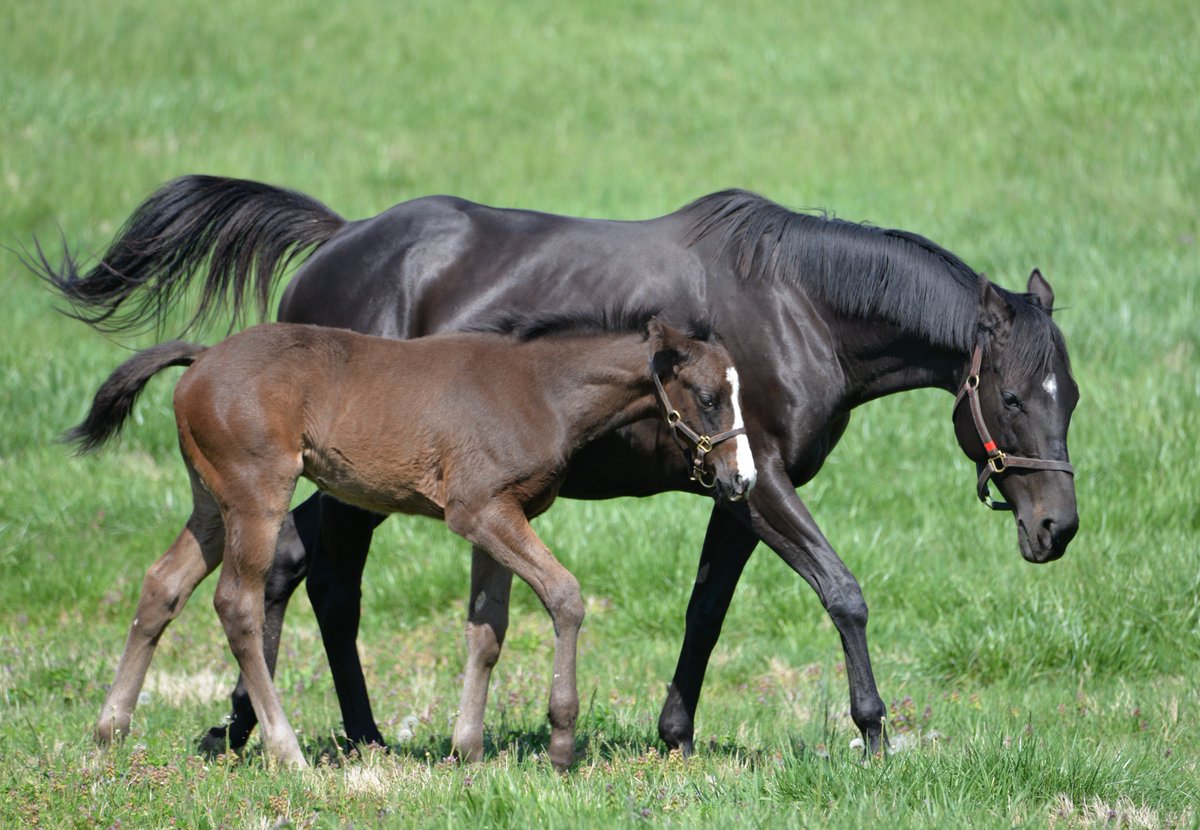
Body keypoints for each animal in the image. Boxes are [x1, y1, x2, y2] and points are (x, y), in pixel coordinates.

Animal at [72, 314, 748, 767]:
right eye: (709, 397)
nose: (741, 478)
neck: (542, 389)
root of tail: (205, 357)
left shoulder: (497, 516)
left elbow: (487, 629)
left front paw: (467, 749)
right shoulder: (480, 511)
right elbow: (565, 596)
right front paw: (560, 742)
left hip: (212, 502)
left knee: (163, 584)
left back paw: (110, 729)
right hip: (255, 493)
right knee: (236, 604)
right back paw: (286, 751)